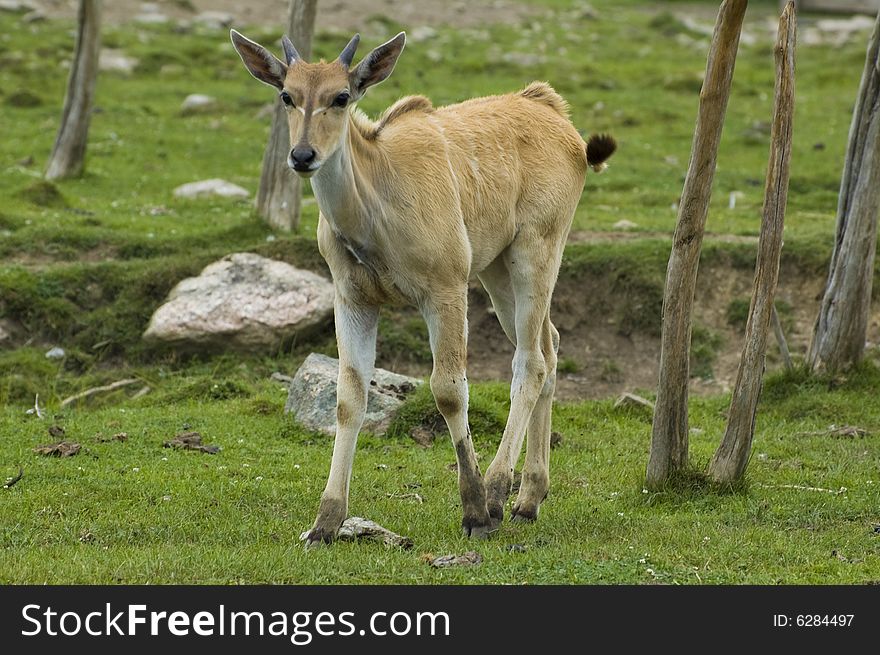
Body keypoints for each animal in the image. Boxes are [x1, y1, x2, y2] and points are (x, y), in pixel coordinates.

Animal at [234, 28, 620, 544]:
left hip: (536, 251)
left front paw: (474, 511)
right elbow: (348, 398)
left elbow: (449, 390)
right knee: (550, 345)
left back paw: (498, 492)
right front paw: (324, 523)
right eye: (287, 96)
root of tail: (556, 113)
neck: (376, 203)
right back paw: (528, 498)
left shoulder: (446, 289)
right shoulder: (353, 298)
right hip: (496, 270)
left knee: (532, 361)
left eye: (341, 96)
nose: (302, 156)